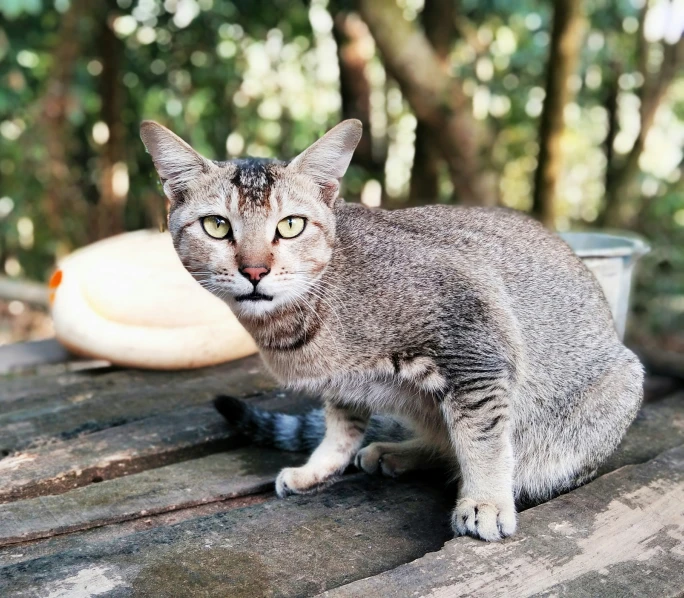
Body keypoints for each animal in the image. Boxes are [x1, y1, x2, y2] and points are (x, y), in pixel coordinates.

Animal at [142, 119, 644, 540]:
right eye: (215, 225)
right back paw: (399, 450)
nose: (254, 270)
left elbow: (482, 439)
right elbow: (340, 432)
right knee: (442, 442)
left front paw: (485, 501)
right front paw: (317, 468)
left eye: (291, 225)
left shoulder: (476, 343)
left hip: (617, 388)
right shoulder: (344, 384)